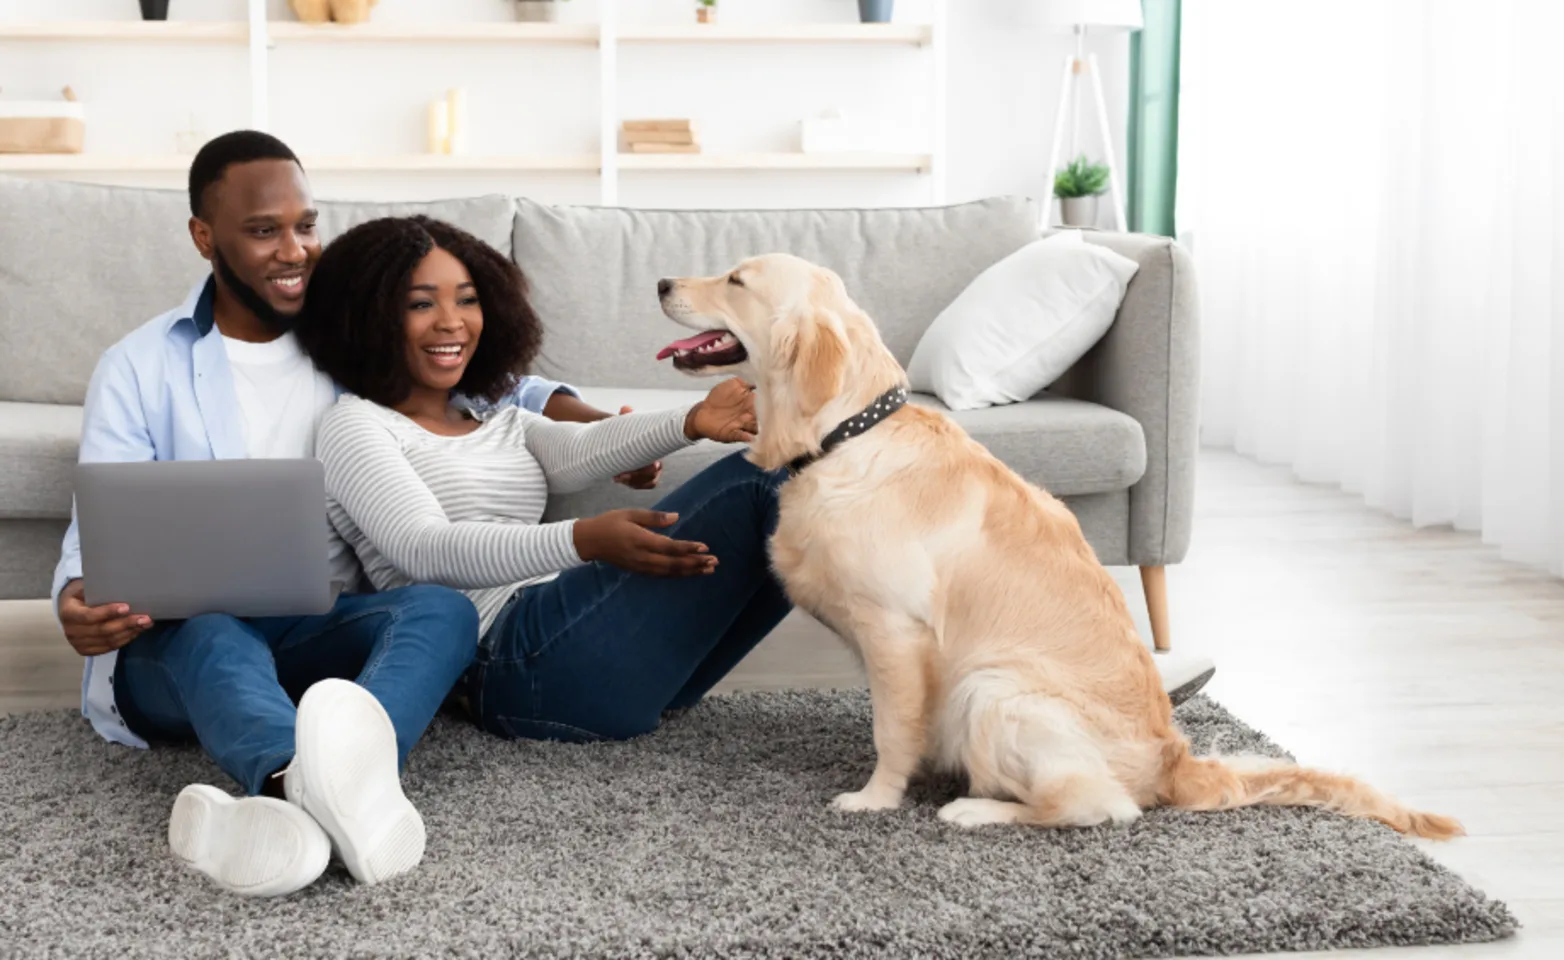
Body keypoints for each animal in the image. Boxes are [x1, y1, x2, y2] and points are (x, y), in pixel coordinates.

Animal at [653, 256, 1457, 844]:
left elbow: (891, 728)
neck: (846, 435)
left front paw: (875, 797)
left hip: (993, 689)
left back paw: (976, 809)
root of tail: (1176, 761)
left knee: (1101, 806)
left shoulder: (894, 629)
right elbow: (903, 724)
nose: (661, 283)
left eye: (737, 280)